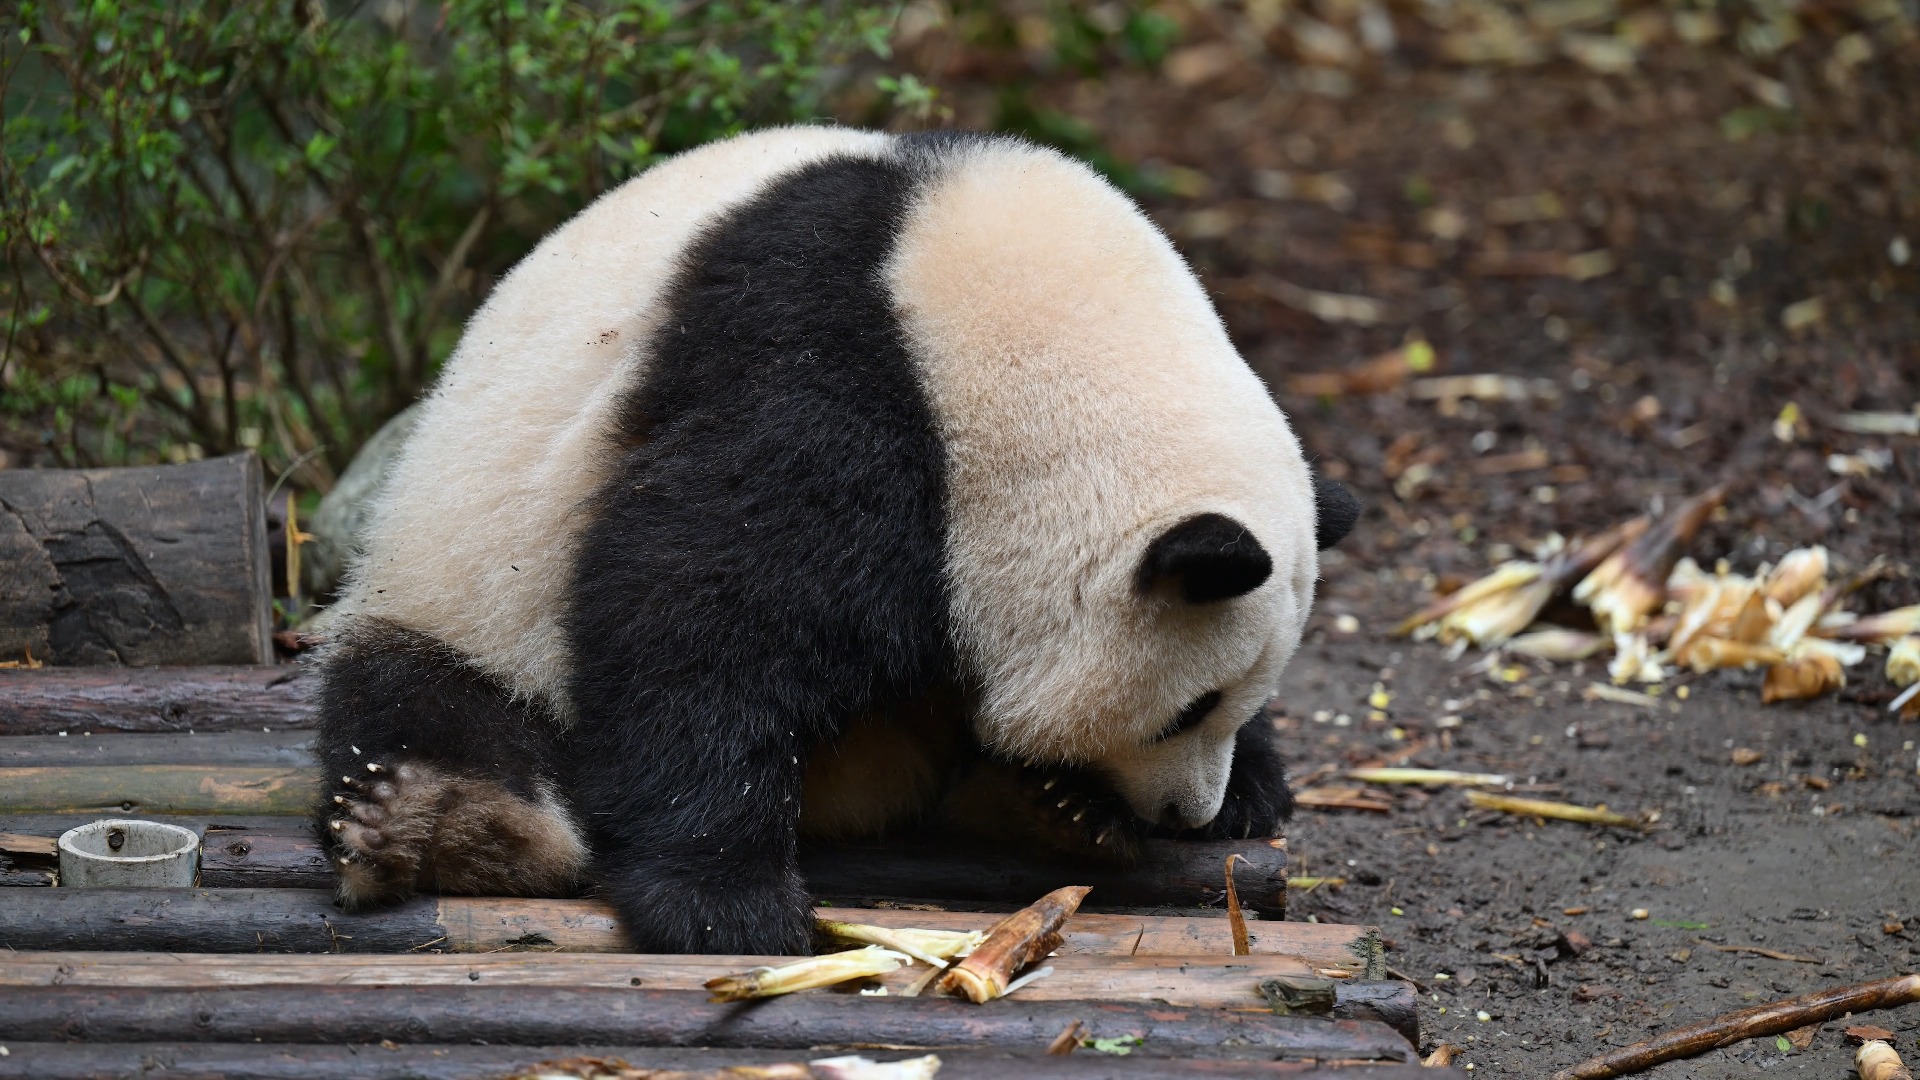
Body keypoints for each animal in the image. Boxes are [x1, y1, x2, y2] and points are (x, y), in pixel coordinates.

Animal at [314, 125, 1359, 949]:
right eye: (1189, 707)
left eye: (1229, 704)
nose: (1188, 811)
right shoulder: (827, 357)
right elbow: (699, 608)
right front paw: (725, 904)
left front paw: (1246, 781)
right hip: (461, 569)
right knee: (425, 694)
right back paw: (447, 821)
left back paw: (1042, 812)